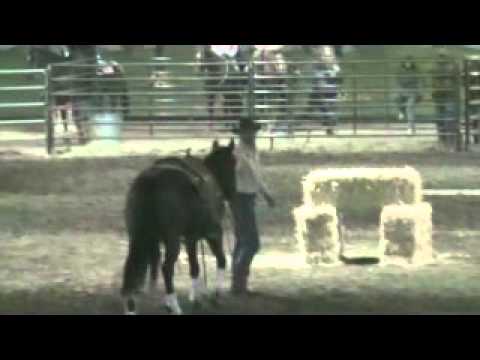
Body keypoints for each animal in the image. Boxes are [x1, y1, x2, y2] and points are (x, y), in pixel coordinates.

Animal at [120, 139, 236, 314]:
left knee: (133, 266)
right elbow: (212, 262)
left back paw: (132, 306)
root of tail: (151, 181)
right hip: (173, 240)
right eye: (234, 162)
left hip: (139, 237)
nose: (232, 193)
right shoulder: (208, 234)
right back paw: (176, 307)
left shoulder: (182, 239)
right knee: (166, 268)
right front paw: (211, 295)